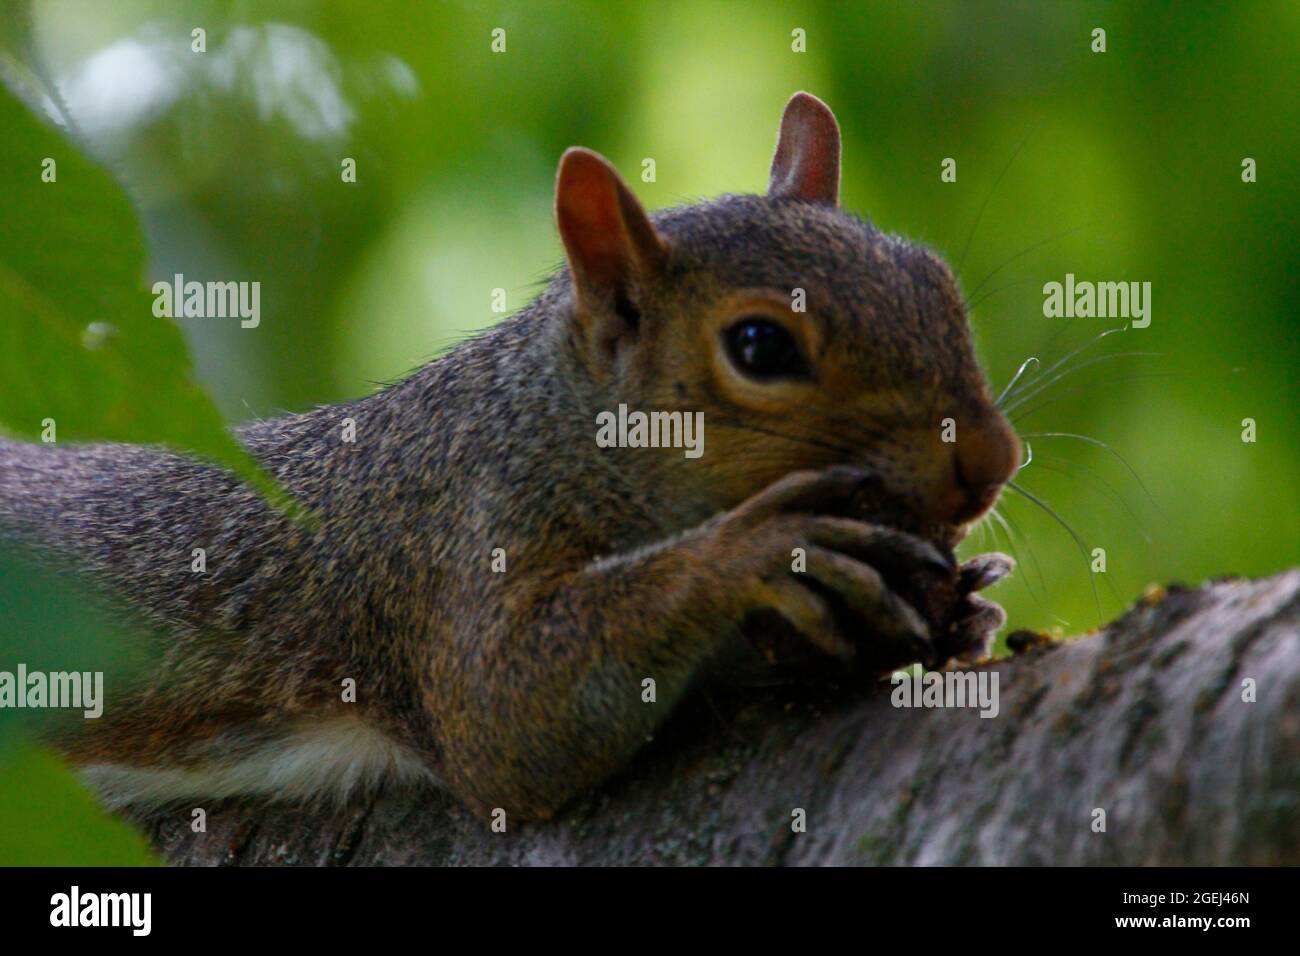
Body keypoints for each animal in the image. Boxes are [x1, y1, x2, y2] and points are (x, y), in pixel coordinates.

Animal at [2, 91, 1024, 822]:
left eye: (935, 279)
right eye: (760, 346)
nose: (993, 459)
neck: (554, 426)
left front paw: (965, 604)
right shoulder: (453, 547)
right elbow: (505, 720)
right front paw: (757, 550)